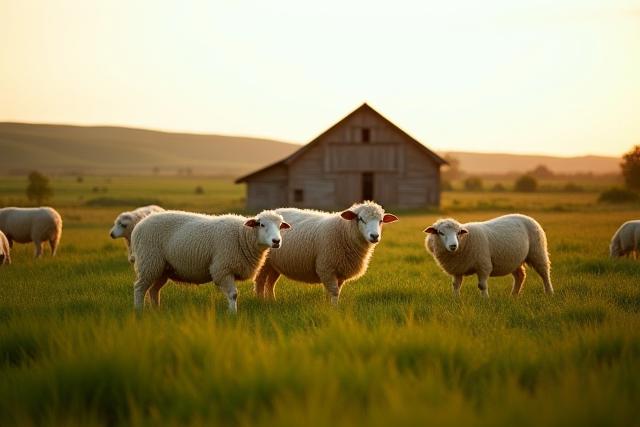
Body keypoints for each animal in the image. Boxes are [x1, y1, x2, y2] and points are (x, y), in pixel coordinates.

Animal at [130, 209, 291, 313]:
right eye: (262, 224)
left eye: (280, 226)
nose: (276, 241)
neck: (241, 236)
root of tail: (138, 226)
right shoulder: (222, 269)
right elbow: (233, 294)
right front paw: (233, 314)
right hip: (149, 261)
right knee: (139, 288)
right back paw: (139, 310)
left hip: (162, 268)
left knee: (153, 290)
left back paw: (156, 310)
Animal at [253, 201, 398, 305]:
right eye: (361, 219)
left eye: (381, 221)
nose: (374, 236)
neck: (344, 232)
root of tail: (266, 213)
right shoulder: (326, 267)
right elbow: (334, 292)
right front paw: (334, 310)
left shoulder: (339, 271)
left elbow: (333, 291)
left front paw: (328, 307)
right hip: (265, 262)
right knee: (260, 281)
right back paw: (261, 302)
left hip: (274, 265)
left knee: (270, 283)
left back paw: (272, 301)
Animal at [424, 214, 553, 297]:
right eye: (440, 233)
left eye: (458, 233)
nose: (453, 245)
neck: (466, 240)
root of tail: (527, 217)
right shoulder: (458, 269)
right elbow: (455, 285)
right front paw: (455, 299)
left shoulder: (483, 264)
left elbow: (482, 285)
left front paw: (485, 299)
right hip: (514, 259)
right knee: (520, 276)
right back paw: (513, 295)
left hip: (538, 252)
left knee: (545, 273)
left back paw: (549, 293)